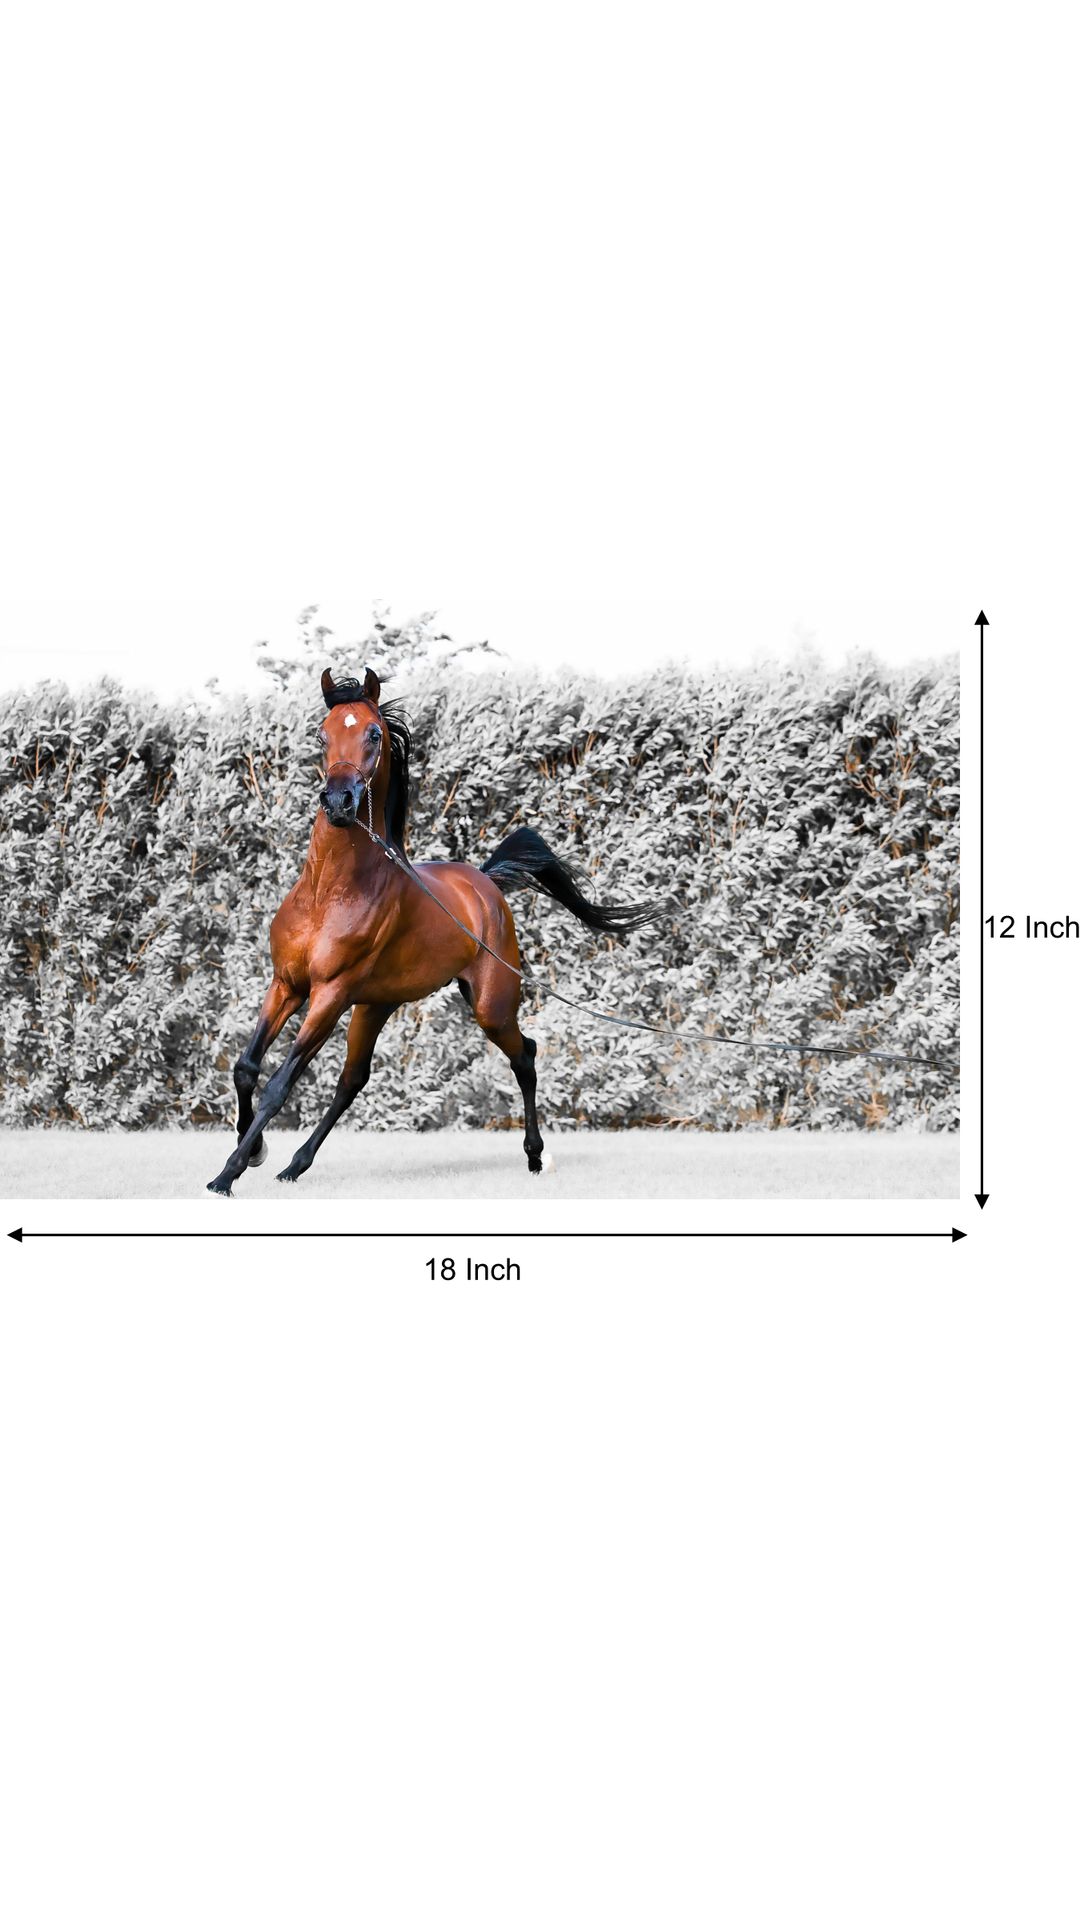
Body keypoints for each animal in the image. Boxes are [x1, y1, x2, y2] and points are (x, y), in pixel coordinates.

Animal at [207, 665, 654, 1195]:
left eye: (374, 734)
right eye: (322, 733)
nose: (339, 802)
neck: (328, 894)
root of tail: (485, 881)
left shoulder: (329, 995)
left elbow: (278, 1086)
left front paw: (228, 1173)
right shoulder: (287, 985)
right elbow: (246, 1068)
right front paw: (253, 1149)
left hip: (489, 1005)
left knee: (524, 1055)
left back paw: (535, 1156)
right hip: (375, 1006)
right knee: (353, 1080)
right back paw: (294, 1166)